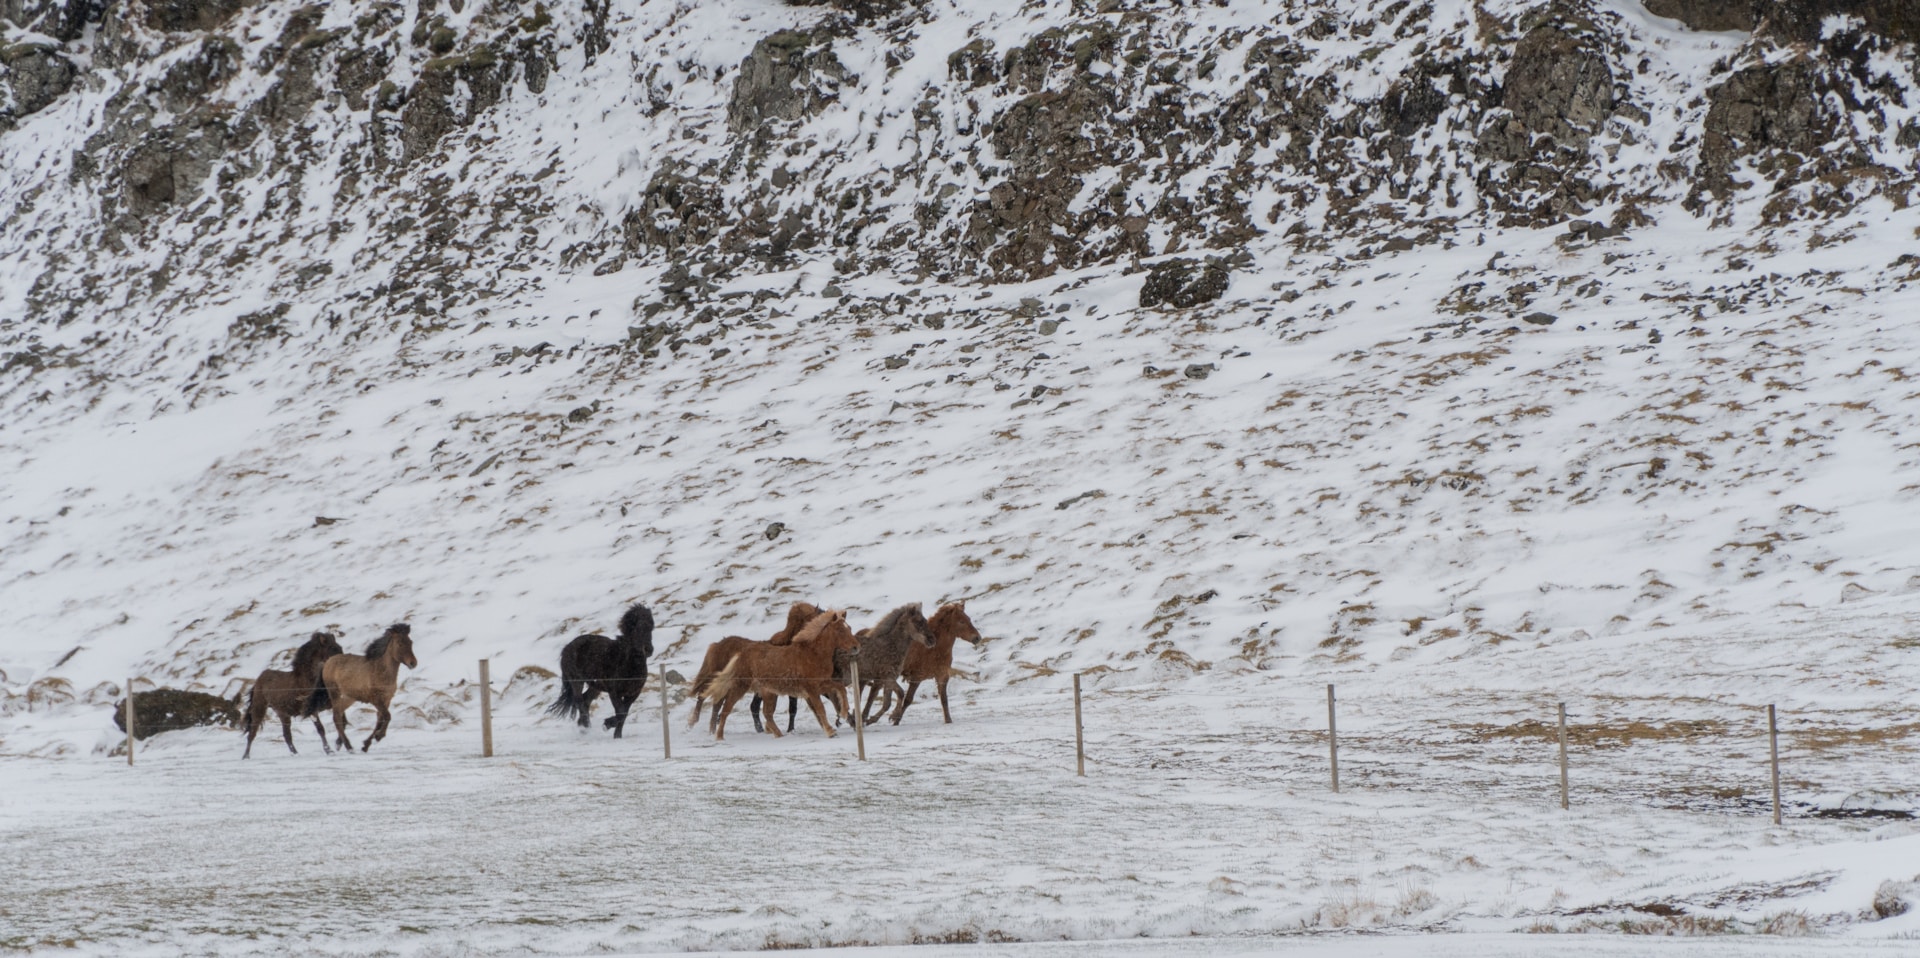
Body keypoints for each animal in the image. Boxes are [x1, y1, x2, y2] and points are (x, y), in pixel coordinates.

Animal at [316, 624, 418, 753]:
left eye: (410, 642)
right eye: (400, 643)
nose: (413, 663)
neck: (381, 670)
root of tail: (328, 662)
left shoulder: (386, 700)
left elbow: (380, 720)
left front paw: (366, 745)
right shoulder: (376, 700)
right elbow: (387, 716)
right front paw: (379, 736)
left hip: (349, 698)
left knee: (338, 714)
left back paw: (340, 744)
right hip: (335, 694)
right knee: (336, 717)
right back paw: (348, 747)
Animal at [547, 603, 654, 738]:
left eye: (651, 627)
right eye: (637, 628)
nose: (649, 650)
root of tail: (567, 648)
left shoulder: (633, 694)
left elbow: (624, 714)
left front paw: (617, 736)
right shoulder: (614, 693)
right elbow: (620, 712)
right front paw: (607, 724)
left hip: (595, 686)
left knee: (586, 700)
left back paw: (583, 725)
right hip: (577, 681)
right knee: (579, 701)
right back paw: (585, 726)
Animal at [703, 609, 858, 740]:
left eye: (849, 628)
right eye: (840, 630)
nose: (856, 647)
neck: (812, 654)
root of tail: (741, 653)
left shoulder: (822, 684)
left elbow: (841, 689)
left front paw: (844, 713)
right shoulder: (811, 689)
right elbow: (820, 709)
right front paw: (830, 732)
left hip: (768, 692)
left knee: (767, 713)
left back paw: (778, 734)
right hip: (740, 686)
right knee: (726, 709)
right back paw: (719, 737)